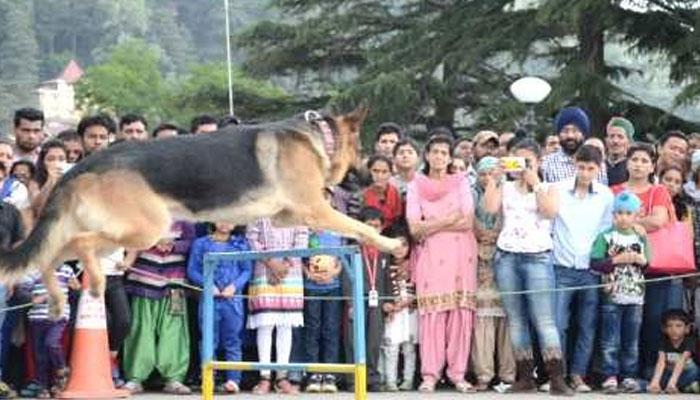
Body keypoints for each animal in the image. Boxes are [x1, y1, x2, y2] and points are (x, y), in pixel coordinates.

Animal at [0, 107, 402, 318]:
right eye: (361, 148)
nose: (370, 177)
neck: (320, 136)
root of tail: (83, 164)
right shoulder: (316, 209)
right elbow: (359, 227)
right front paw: (391, 243)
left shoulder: (287, 216)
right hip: (143, 228)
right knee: (80, 244)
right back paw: (95, 283)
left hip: (111, 231)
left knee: (51, 256)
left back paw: (55, 299)